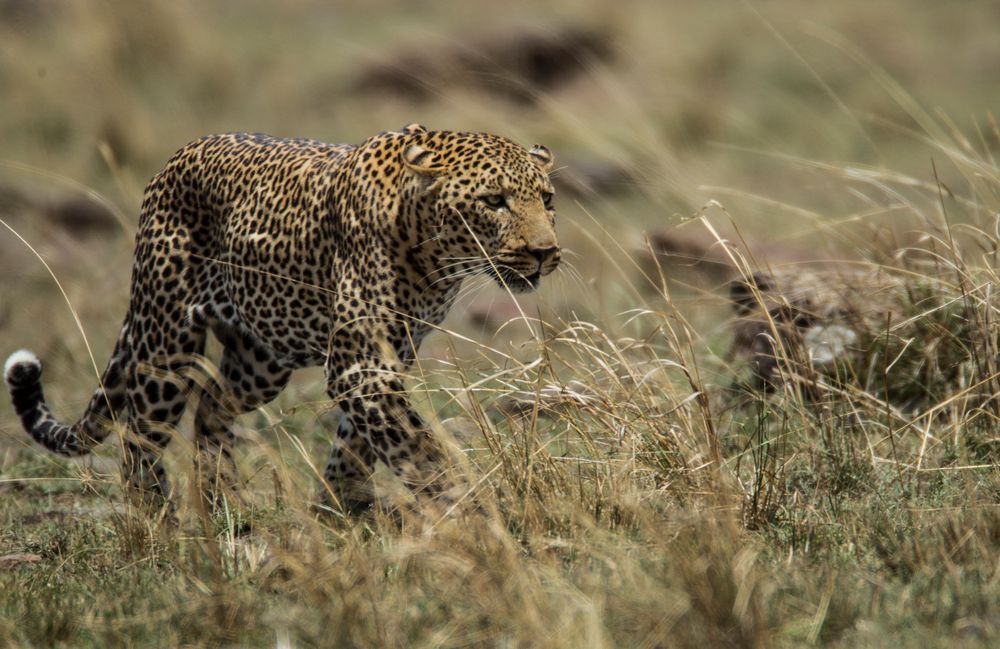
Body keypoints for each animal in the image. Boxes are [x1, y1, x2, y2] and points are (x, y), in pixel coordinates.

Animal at [3, 124, 560, 512]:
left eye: (548, 199)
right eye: (494, 201)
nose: (545, 252)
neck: (435, 254)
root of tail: (173, 160)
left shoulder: (386, 358)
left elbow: (359, 444)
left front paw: (342, 509)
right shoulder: (361, 366)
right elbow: (417, 446)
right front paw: (469, 509)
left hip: (261, 361)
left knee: (211, 406)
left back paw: (223, 503)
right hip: (166, 342)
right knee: (140, 436)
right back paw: (156, 527)